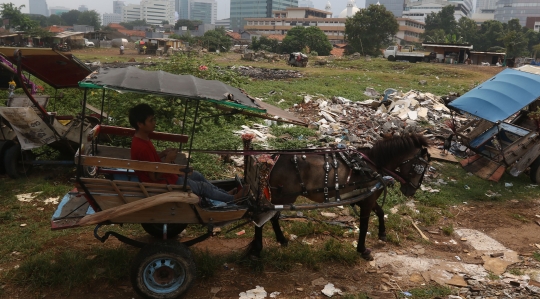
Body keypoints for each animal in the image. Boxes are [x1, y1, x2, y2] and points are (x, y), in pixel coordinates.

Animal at [249, 133, 430, 260]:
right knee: (263, 218)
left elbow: (380, 212)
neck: (372, 165)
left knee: (270, 219)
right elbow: (364, 225)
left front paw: (382, 234)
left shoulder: (367, 198)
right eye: (421, 167)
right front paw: (363, 250)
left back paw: (280, 240)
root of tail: (274, 160)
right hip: (282, 198)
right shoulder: (367, 201)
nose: (411, 191)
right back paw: (258, 248)